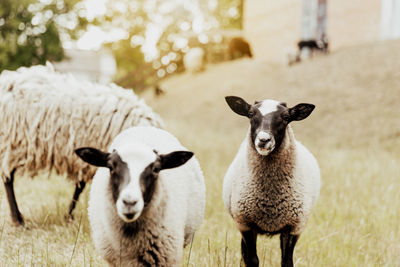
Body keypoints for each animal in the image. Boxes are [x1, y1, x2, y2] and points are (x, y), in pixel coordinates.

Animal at [0, 63, 164, 226]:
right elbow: (82, 186)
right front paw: (71, 216)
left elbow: (80, 186)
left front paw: (69, 216)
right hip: (11, 143)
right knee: (8, 178)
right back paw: (17, 219)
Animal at [223, 96, 320, 267]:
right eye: (250, 114)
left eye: (286, 117)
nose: (263, 140)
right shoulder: (246, 224)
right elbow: (252, 260)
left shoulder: (293, 227)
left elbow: (287, 262)